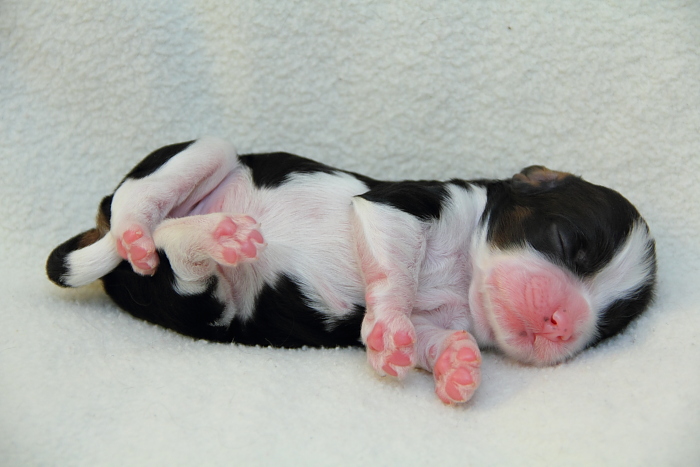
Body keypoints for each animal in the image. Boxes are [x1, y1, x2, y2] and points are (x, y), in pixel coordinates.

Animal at [47, 137, 656, 404]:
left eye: (607, 324)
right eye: (568, 243)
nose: (564, 322)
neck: (462, 278)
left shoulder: (438, 320)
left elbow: (433, 338)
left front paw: (457, 366)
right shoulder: (397, 207)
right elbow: (394, 269)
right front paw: (386, 328)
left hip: (204, 303)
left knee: (181, 256)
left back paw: (222, 236)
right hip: (202, 152)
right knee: (140, 209)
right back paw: (156, 231)